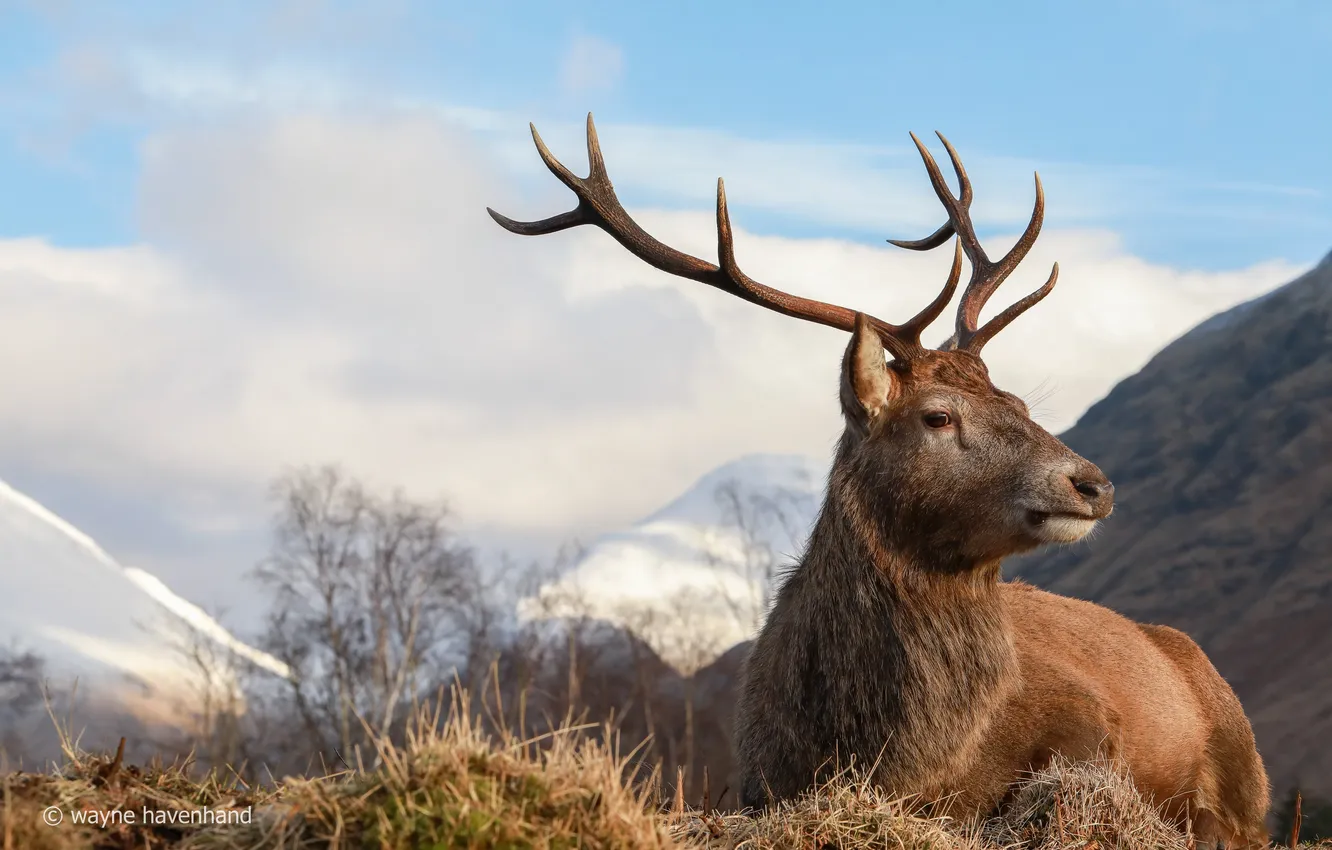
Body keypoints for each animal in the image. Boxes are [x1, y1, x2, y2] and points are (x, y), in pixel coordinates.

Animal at [487, 114, 1271, 848]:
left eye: (1020, 404)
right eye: (938, 416)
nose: (1093, 484)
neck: (893, 753)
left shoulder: (1090, 720)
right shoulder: (760, 777)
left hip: (1242, 744)